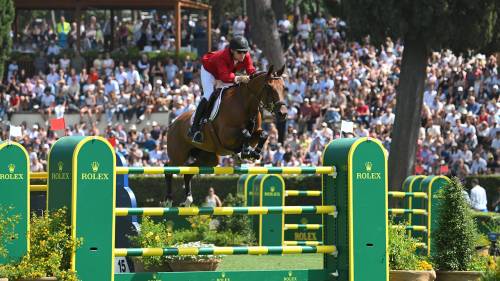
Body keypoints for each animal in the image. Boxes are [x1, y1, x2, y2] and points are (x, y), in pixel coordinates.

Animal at [165, 65, 290, 206]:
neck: (245, 104)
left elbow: (263, 134)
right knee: (169, 168)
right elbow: (245, 133)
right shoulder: (226, 135)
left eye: (283, 87)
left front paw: (254, 152)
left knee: (188, 172)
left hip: (209, 159)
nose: (283, 114)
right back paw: (168, 200)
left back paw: (187, 200)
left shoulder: (255, 133)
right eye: (269, 87)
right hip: (178, 156)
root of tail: (173, 123)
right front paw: (245, 152)